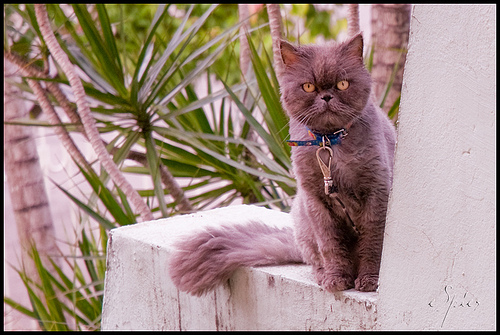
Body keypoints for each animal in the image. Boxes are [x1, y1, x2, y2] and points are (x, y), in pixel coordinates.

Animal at [168, 34, 394, 296]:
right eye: (308, 87)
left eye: (342, 84)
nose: (326, 97)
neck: (330, 144)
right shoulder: (316, 200)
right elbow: (331, 246)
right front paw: (336, 280)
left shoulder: (376, 192)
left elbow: (373, 243)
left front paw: (370, 281)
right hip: (302, 216)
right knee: (315, 258)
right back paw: (322, 275)